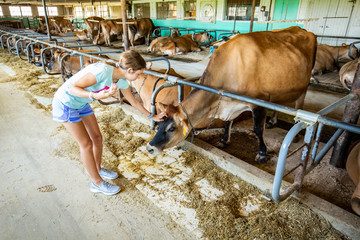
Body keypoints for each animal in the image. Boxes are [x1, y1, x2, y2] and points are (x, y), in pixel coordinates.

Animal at [145, 27, 316, 164]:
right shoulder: (227, 101)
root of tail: (303, 30)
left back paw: (297, 132)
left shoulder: (259, 102)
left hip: (304, 85)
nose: (150, 147)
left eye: (172, 128)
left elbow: (257, 129)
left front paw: (262, 154)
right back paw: (272, 121)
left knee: (299, 104)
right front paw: (223, 140)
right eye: (159, 124)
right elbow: (227, 122)